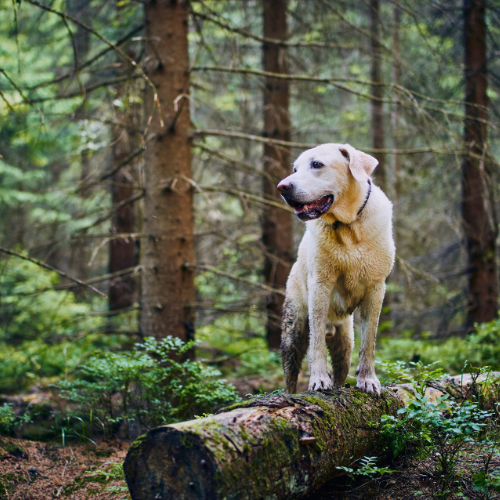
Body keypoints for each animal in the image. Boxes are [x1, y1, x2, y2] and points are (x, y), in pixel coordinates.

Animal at [278, 141, 394, 394]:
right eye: (294, 169)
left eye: (316, 164)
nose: (282, 187)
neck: (348, 227)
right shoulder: (320, 286)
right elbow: (317, 342)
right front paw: (319, 379)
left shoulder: (376, 289)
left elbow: (369, 341)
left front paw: (368, 379)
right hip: (294, 329)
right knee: (290, 376)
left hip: (344, 342)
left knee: (343, 367)